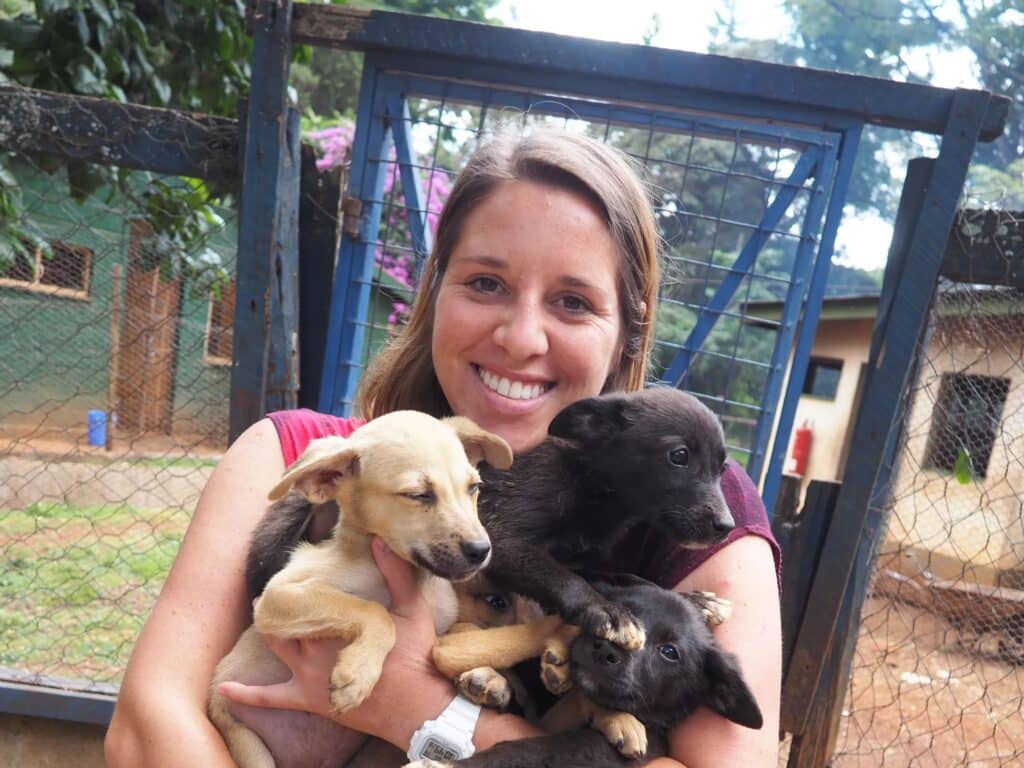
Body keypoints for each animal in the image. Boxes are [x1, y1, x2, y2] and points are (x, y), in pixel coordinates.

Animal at [207, 411, 512, 768]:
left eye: (474, 487)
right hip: (248, 744)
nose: (481, 550)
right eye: (418, 495)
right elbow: (375, 612)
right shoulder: (277, 596)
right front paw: (358, 674)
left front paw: (487, 676)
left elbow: (462, 631)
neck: (417, 581)